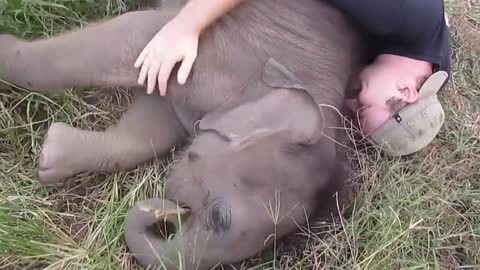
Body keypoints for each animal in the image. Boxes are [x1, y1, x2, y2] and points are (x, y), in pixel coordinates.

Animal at [0, 0, 366, 268]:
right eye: (219, 217)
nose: (170, 214)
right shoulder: (229, 47)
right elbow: (133, 36)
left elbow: (151, 126)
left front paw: (51, 152)